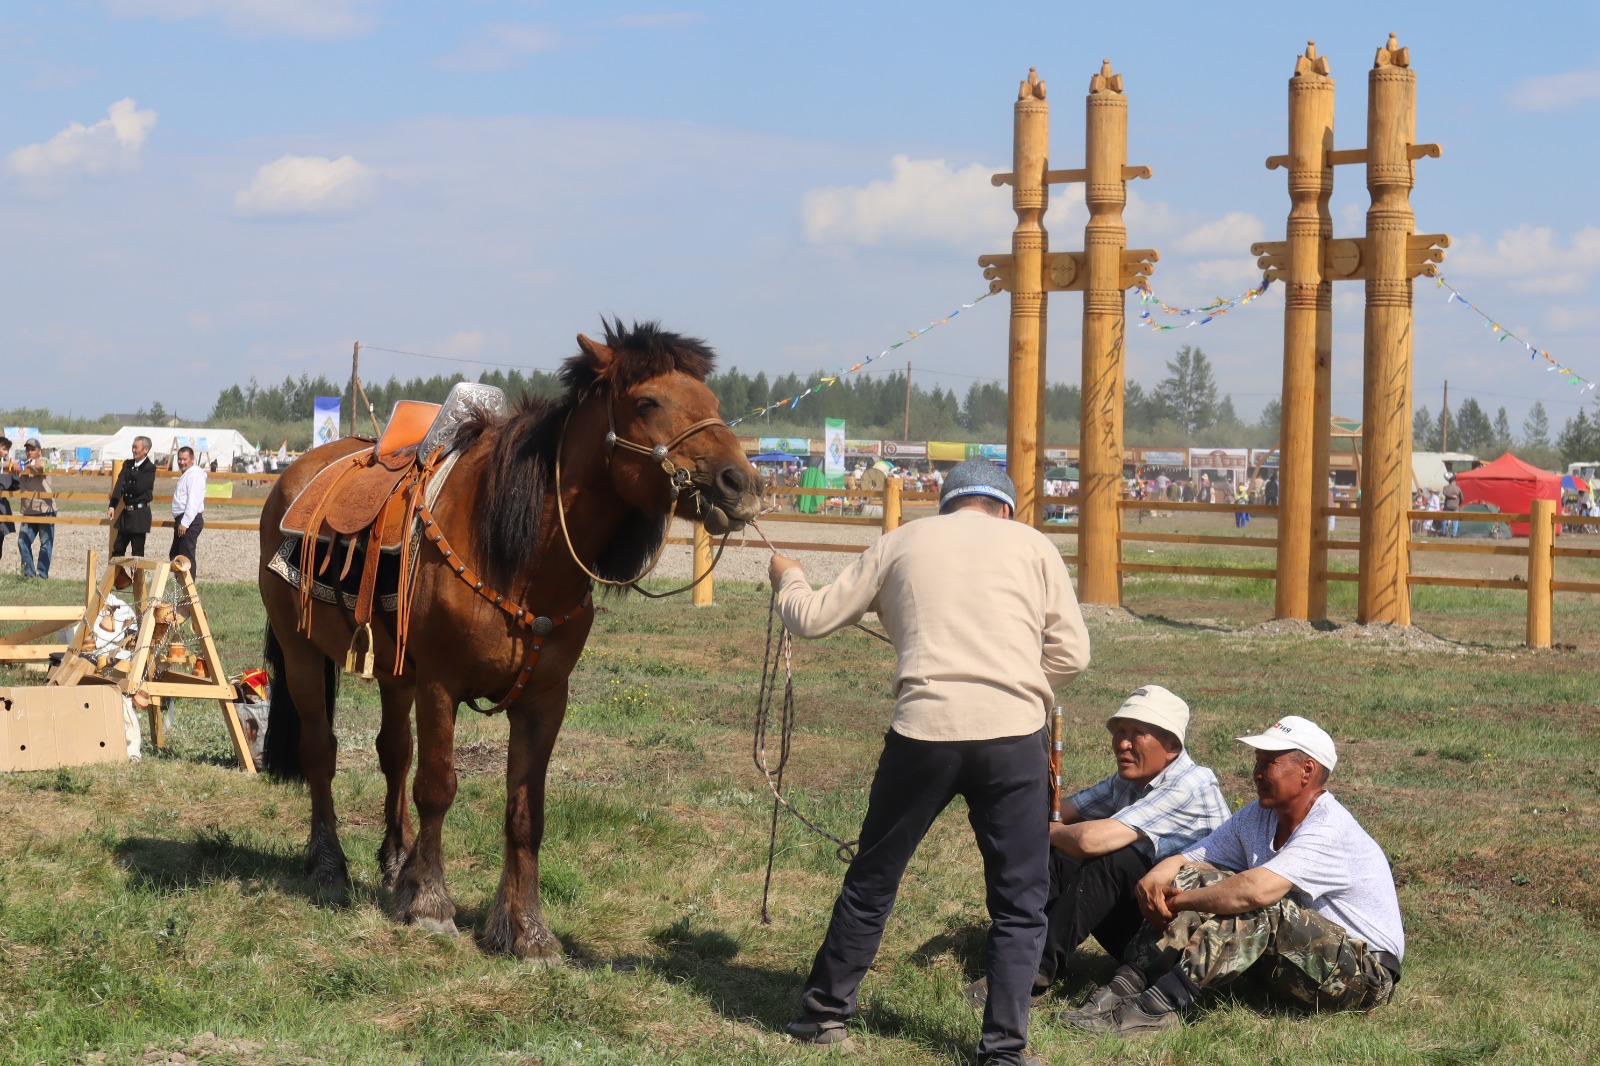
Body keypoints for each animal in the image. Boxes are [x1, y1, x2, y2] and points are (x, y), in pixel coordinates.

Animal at [256, 320, 761, 960]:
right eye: (648, 402)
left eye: (713, 402)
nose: (740, 482)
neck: (516, 552)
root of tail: (294, 476)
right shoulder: (441, 685)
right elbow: (437, 787)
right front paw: (431, 905)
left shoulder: (544, 700)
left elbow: (525, 812)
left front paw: (525, 930)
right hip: (301, 655)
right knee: (322, 750)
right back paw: (329, 865)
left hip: (396, 673)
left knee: (393, 752)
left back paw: (396, 862)